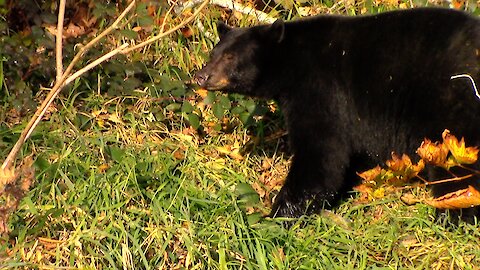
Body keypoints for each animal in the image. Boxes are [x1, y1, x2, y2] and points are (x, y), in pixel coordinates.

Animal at [194, 8, 480, 218]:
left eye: (230, 57)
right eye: (213, 53)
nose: (201, 75)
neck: (292, 63)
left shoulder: (322, 90)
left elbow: (321, 154)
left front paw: (278, 214)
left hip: (451, 104)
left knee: (457, 167)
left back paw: (455, 212)